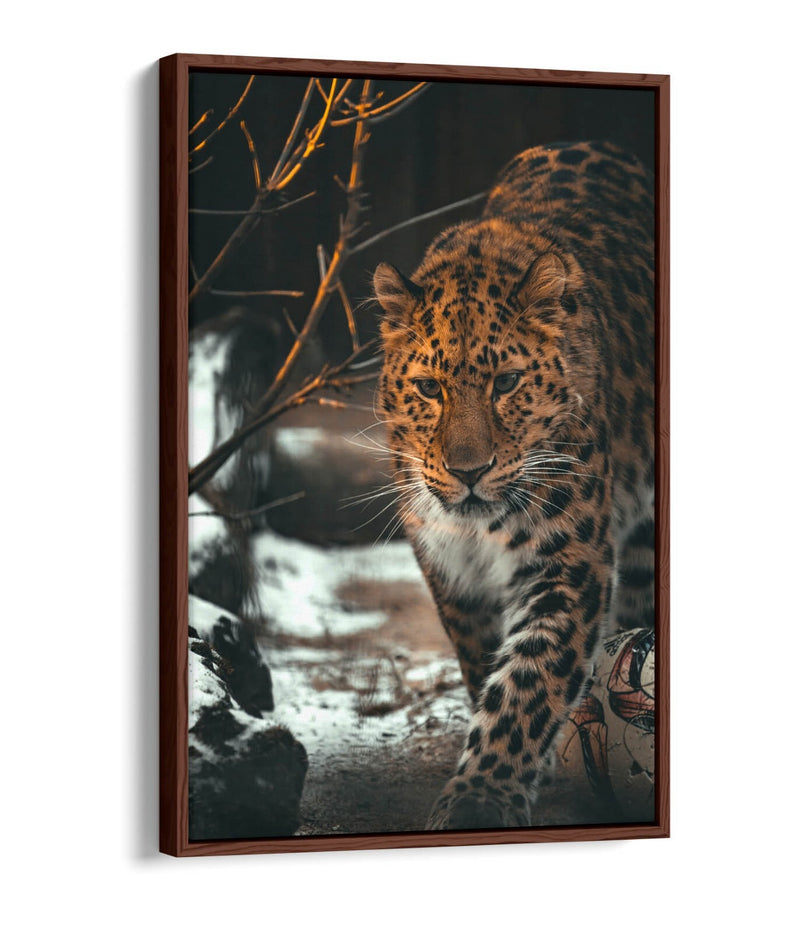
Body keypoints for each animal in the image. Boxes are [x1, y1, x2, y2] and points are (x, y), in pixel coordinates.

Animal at [372, 140, 655, 830]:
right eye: (430, 388)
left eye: (505, 383)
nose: (468, 471)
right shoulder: (449, 566)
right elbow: (486, 664)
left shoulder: (568, 560)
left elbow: (531, 679)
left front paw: (482, 797)